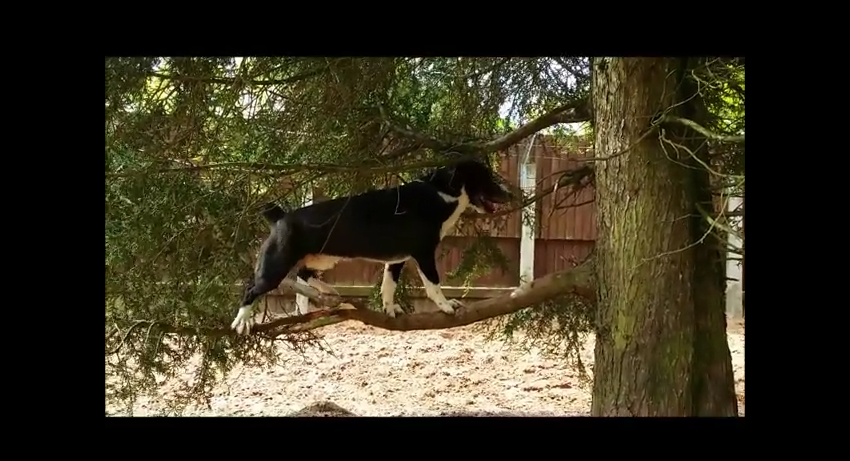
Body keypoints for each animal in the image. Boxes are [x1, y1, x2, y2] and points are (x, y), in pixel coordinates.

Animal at [230, 158, 510, 334]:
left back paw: (329, 291)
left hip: (323, 258)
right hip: (274, 268)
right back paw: (242, 320)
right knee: (251, 288)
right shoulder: (424, 254)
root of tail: (280, 216)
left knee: (304, 273)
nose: (509, 194)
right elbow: (433, 284)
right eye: (486, 177)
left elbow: (388, 286)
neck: (441, 192)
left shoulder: (397, 260)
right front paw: (446, 306)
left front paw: (389, 308)